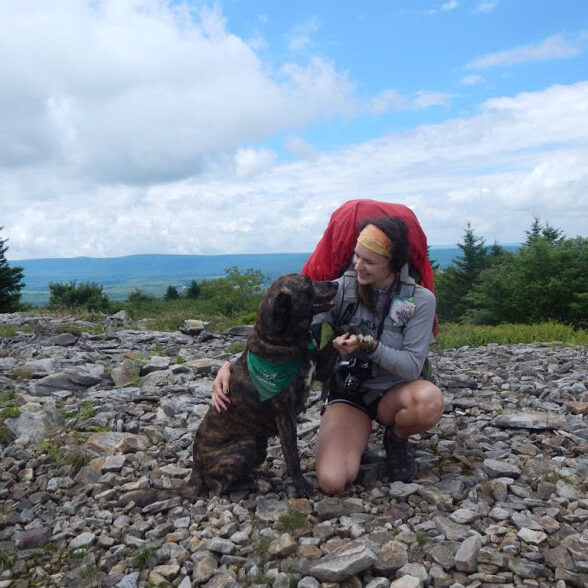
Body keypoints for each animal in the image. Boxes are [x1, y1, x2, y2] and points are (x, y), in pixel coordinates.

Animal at [121, 272, 338, 506]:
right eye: (308, 283)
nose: (336, 283)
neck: (281, 341)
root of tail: (195, 471)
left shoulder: (320, 370)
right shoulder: (285, 418)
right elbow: (292, 456)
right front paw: (302, 487)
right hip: (249, 443)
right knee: (217, 488)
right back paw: (250, 483)